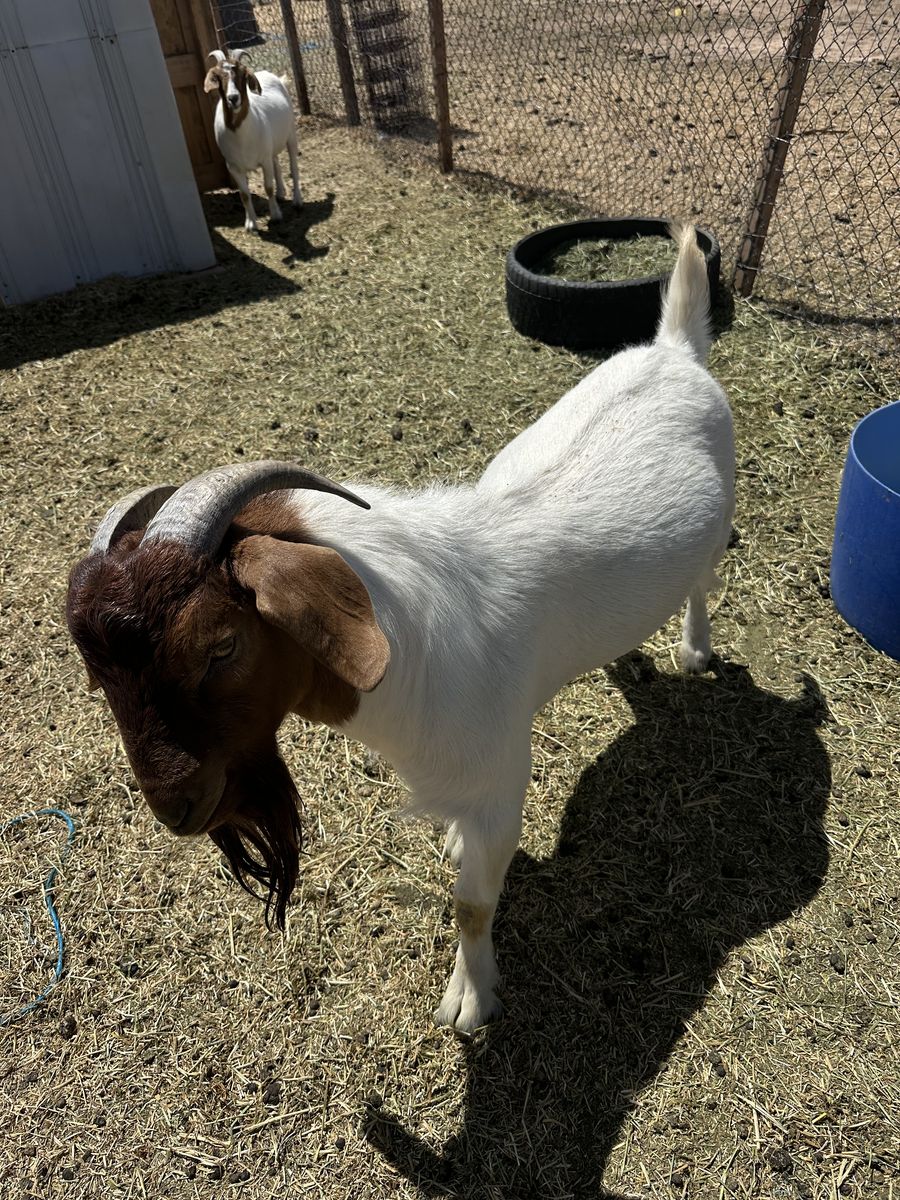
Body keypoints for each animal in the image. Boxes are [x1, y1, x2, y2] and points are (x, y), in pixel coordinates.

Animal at [66, 226, 734, 1033]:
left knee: (703, 582)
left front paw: (470, 1001)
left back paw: (694, 649)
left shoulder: (500, 786)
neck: (412, 645)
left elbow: (471, 906)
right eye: (98, 673)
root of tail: (675, 349)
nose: (174, 810)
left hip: (719, 524)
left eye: (220, 644)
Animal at [204, 48, 301, 232]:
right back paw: (281, 193)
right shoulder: (233, 166)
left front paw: (276, 215)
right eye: (218, 76)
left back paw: (297, 200)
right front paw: (250, 224)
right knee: (277, 162)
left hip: (291, 134)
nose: (233, 98)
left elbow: (268, 187)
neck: (241, 136)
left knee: (293, 166)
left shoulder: (264, 160)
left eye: (243, 74)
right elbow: (244, 195)